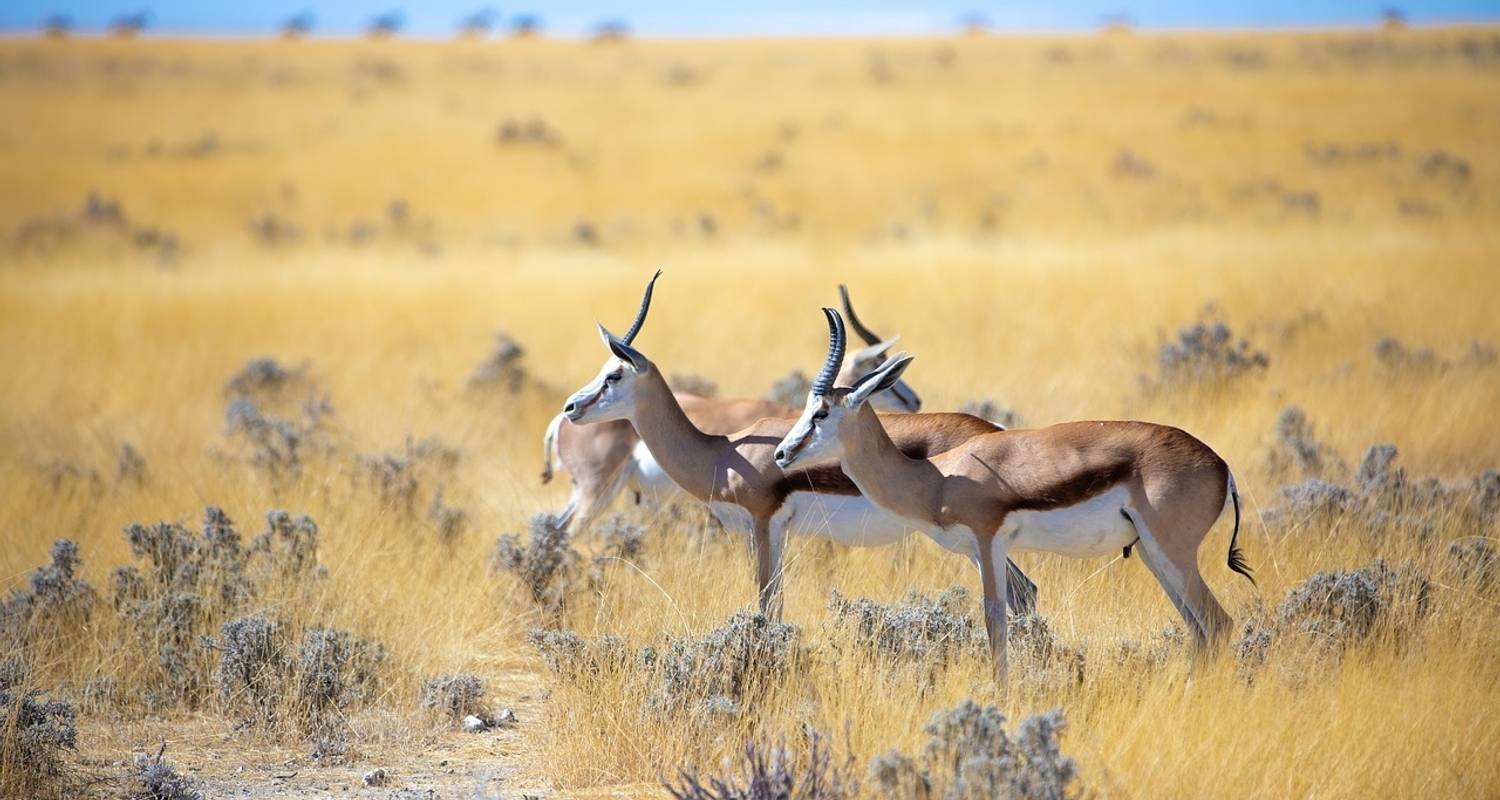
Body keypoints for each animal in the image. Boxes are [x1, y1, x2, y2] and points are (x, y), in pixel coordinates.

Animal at [774, 309, 1254, 684]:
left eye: (821, 412)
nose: (781, 454)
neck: (937, 477)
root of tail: (1222, 466)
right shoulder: (982, 550)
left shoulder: (989, 543)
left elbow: (995, 618)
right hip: (1155, 555)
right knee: (1200, 629)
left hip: (1172, 553)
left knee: (1218, 623)